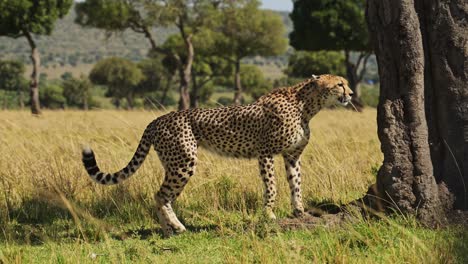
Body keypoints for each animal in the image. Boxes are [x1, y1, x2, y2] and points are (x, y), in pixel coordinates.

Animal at [83, 73, 354, 236]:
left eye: (346, 82)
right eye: (339, 84)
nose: (351, 94)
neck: (306, 105)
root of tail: (157, 119)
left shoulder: (292, 156)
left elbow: (296, 184)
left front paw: (299, 212)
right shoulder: (265, 152)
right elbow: (272, 186)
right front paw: (269, 214)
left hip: (176, 162)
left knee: (162, 196)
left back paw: (168, 230)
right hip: (184, 162)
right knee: (160, 195)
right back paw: (176, 227)